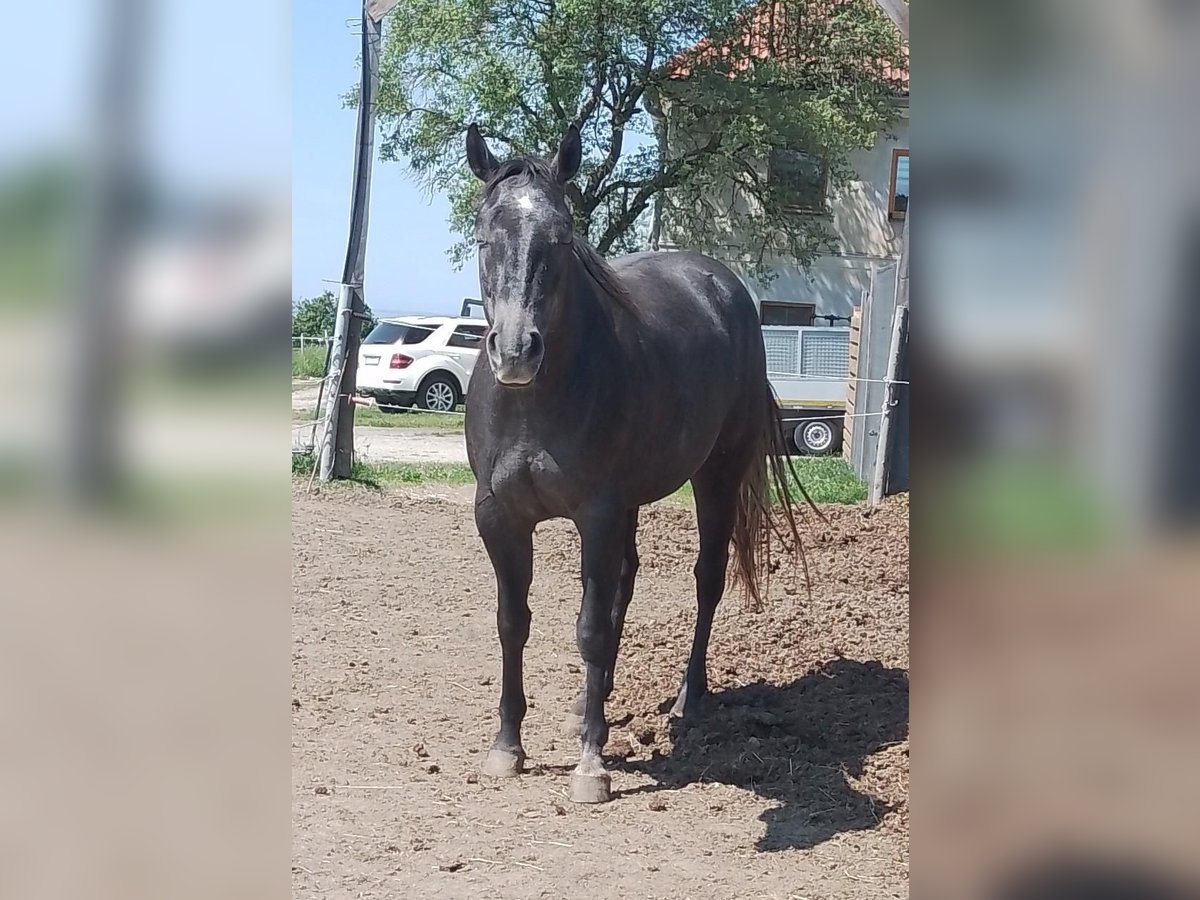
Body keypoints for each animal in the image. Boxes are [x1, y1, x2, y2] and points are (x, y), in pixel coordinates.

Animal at [463, 123, 801, 806]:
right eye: (485, 235)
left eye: (561, 237)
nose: (516, 351)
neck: (535, 402)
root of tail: (721, 285)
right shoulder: (499, 518)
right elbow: (513, 622)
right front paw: (508, 748)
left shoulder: (596, 513)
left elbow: (590, 627)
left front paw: (592, 765)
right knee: (627, 578)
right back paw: (587, 703)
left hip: (715, 478)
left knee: (706, 580)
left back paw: (687, 699)